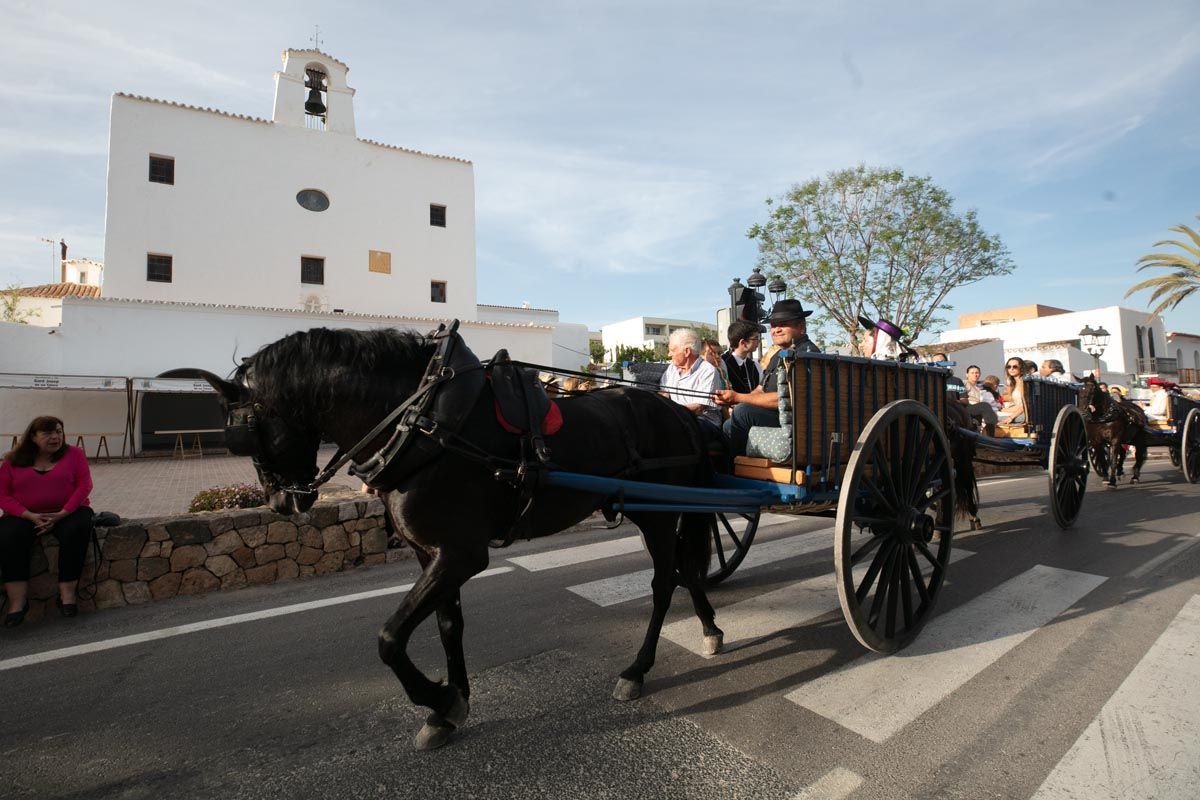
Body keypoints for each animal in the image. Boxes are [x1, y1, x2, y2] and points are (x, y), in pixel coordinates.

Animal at [196, 326, 720, 753]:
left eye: (249, 434)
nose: (281, 503)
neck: (423, 422)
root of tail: (679, 413)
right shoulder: (430, 553)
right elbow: (449, 625)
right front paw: (450, 707)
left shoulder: (463, 555)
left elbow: (390, 637)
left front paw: (439, 698)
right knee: (684, 566)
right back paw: (710, 628)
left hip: (656, 514)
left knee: (663, 581)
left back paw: (637, 669)